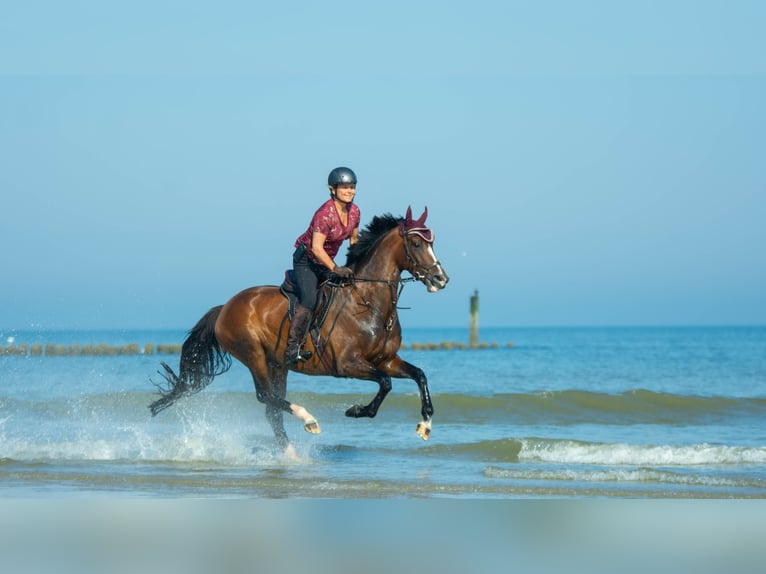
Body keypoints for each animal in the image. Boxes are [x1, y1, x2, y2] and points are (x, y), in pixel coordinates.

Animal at [149, 206, 449, 452]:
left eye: (432, 243)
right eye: (416, 243)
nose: (441, 279)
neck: (369, 303)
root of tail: (224, 308)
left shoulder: (386, 360)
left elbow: (419, 376)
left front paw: (425, 426)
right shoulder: (349, 364)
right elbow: (385, 384)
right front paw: (356, 411)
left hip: (277, 363)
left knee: (272, 408)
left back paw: (291, 454)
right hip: (253, 355)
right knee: (265, 397)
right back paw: (309, 420)